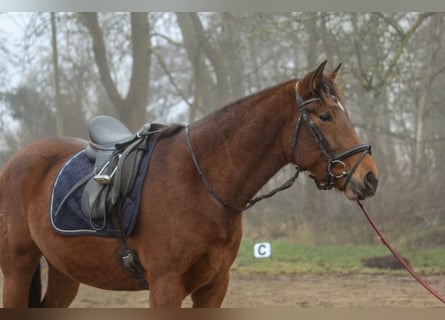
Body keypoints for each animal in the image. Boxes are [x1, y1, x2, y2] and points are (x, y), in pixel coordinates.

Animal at [0, 61, 378, 308]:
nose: (369, 177)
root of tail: (18, 160)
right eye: (325, 116)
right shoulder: (166, 287)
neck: (201, 184)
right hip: (17, 268)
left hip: (64, 271)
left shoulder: (213, 287)